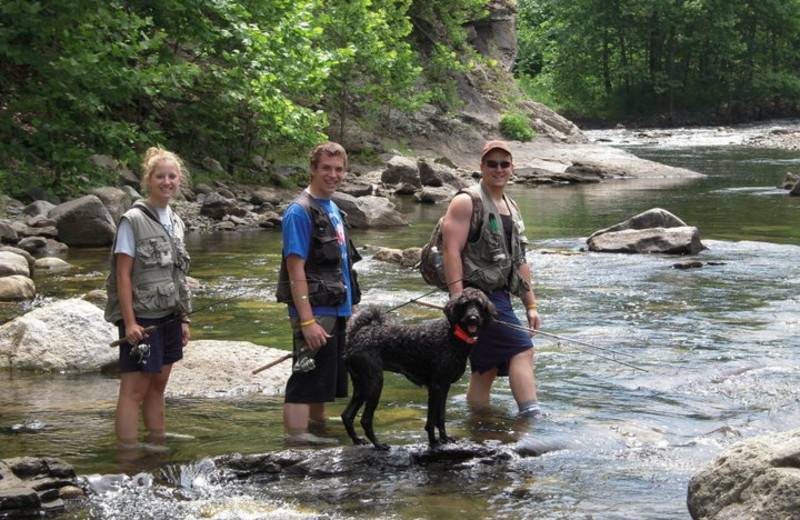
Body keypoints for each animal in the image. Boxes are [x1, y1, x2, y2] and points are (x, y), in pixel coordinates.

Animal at [342, 288, 494, 450]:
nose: (473, 318)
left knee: (347, 415)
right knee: (365, 419)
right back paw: (378, 444)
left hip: (361, 386)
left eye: (479, 305)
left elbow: (441, 416)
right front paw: (433, 442)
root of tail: (356, 336)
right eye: (464, 304)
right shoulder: (436, 386)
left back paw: (357, 440)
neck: (451, 336)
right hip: (374, 384)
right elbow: (431, 420)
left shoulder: (444, 386)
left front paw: (444, 438)